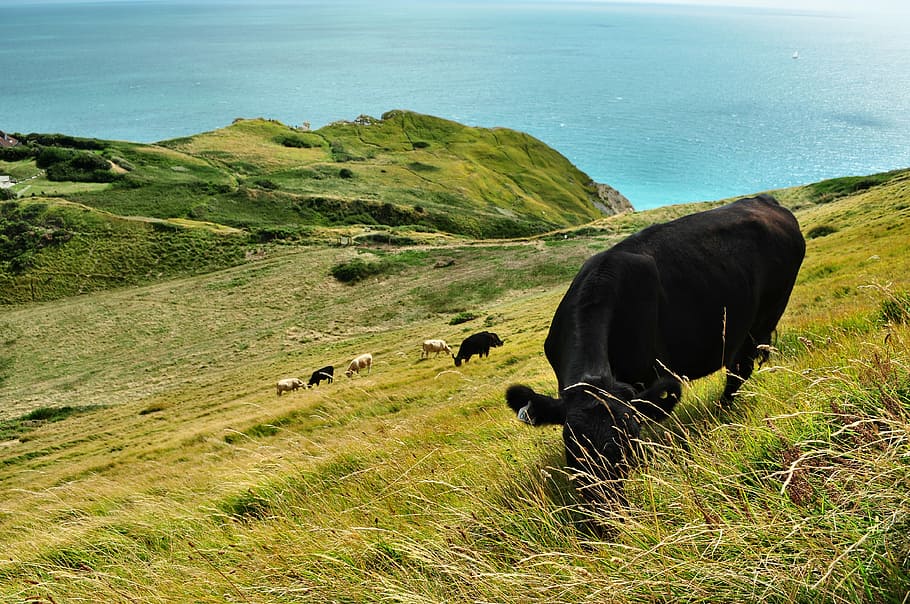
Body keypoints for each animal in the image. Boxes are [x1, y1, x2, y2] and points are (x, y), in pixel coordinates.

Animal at [505, 195, 805, 505]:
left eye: (628, 441)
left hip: (763, 318)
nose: (606, 506)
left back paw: (721, 411)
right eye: (572, 444)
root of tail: (764, 200)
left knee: (739, 370)